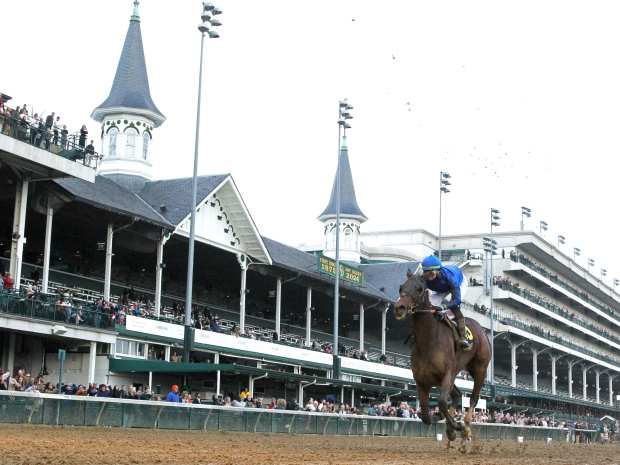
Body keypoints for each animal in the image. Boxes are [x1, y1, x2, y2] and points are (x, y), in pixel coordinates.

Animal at [394, 266, 492, 440]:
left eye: (419, 289)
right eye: (401, 287)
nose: (399, 308)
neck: (428, 342)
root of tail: (482, 330)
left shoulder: (447, 374)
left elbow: (441, 402)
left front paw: (456, 425)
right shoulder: (421, 381)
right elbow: (426, 414)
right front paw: (444, 421)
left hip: (479, 369)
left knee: (473, 398)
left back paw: (465, 426)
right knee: (457, 395)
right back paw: (451, 428)